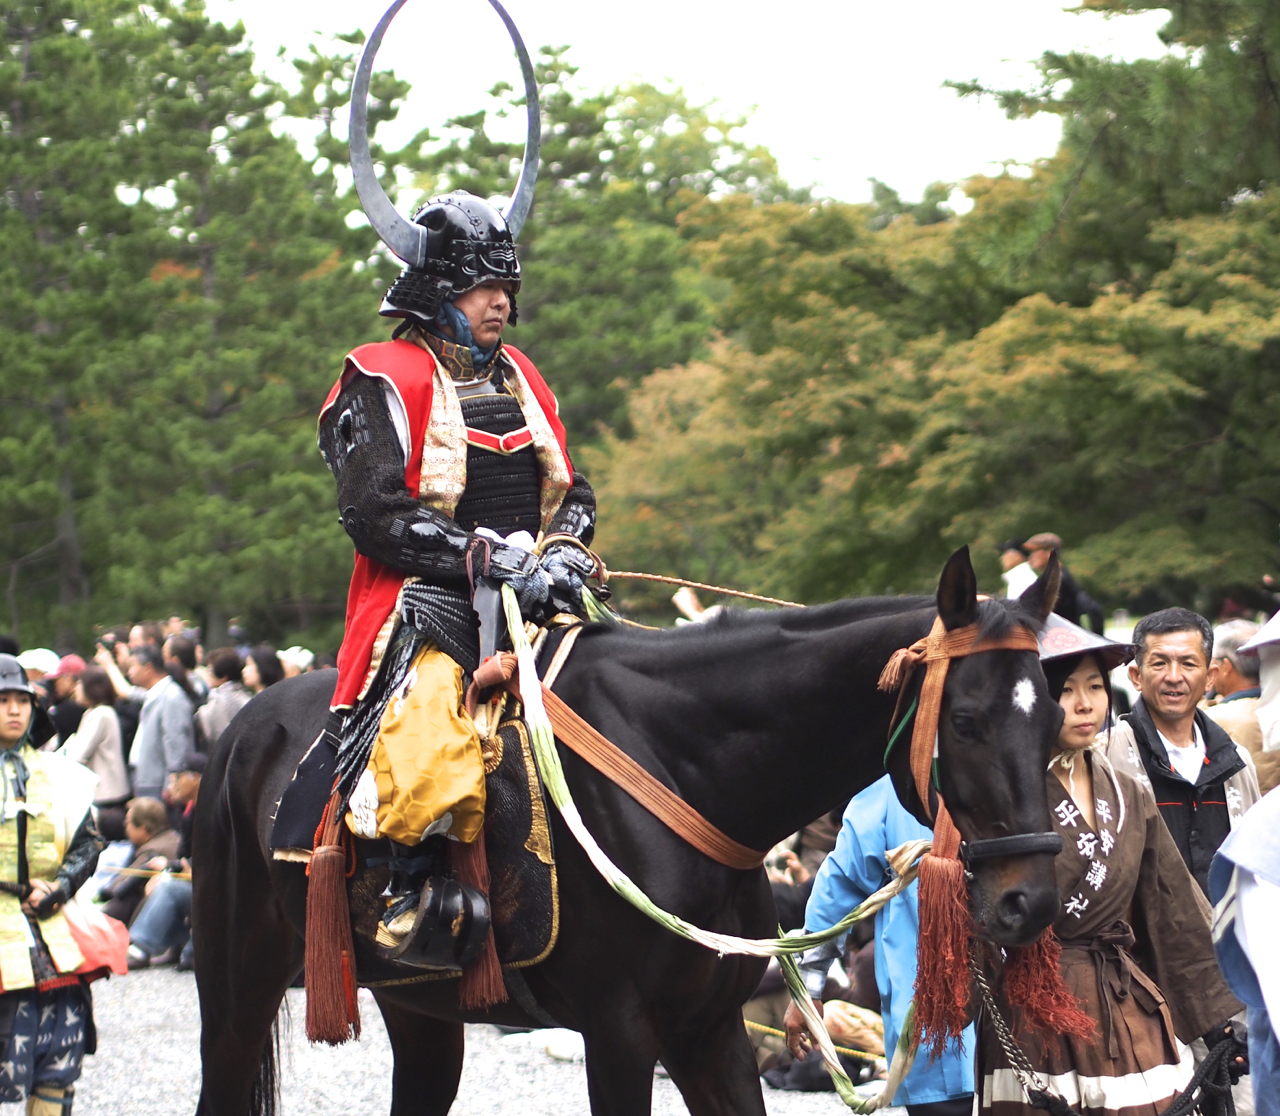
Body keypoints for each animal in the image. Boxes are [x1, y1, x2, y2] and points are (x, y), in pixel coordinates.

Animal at [192, 546, 1065, 1116]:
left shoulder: (708, 1033)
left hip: (421, 1006)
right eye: (966, 720)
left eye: (1054, 720)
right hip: (239, 982)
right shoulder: (619, 1033)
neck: (684, 766)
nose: (1030, 901)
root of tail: (244, 730)